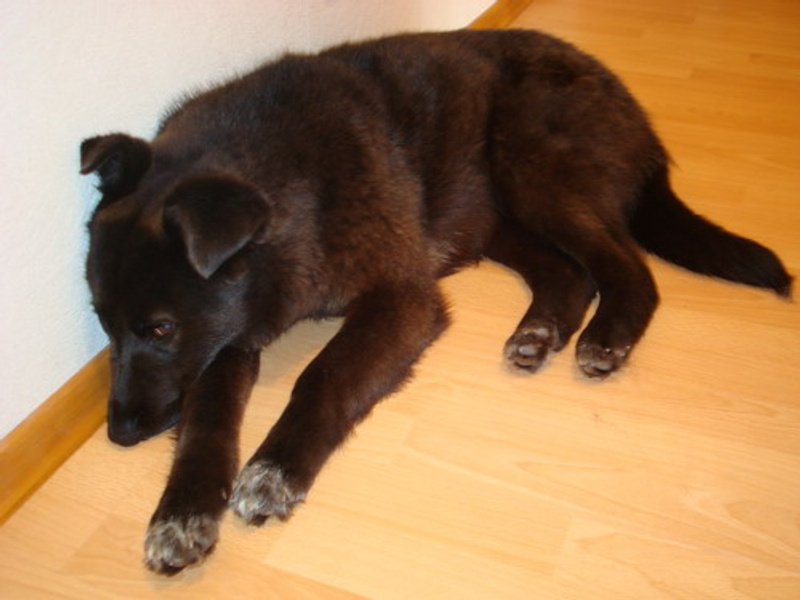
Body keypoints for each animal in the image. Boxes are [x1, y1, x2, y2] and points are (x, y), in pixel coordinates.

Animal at [80, 29, 792, 574]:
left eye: (161, 329)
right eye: (104, 324)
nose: (118, 434)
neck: (289, 184)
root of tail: (633, 109)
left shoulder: (402, 297)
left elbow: (324, 375)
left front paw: (275, 469)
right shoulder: (228, 338)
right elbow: (205, 424)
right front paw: (181, 514)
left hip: (532, 169)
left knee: (628, 269)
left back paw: (605, 337)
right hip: (492, 216)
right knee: (569, 274)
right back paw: (539, 332)